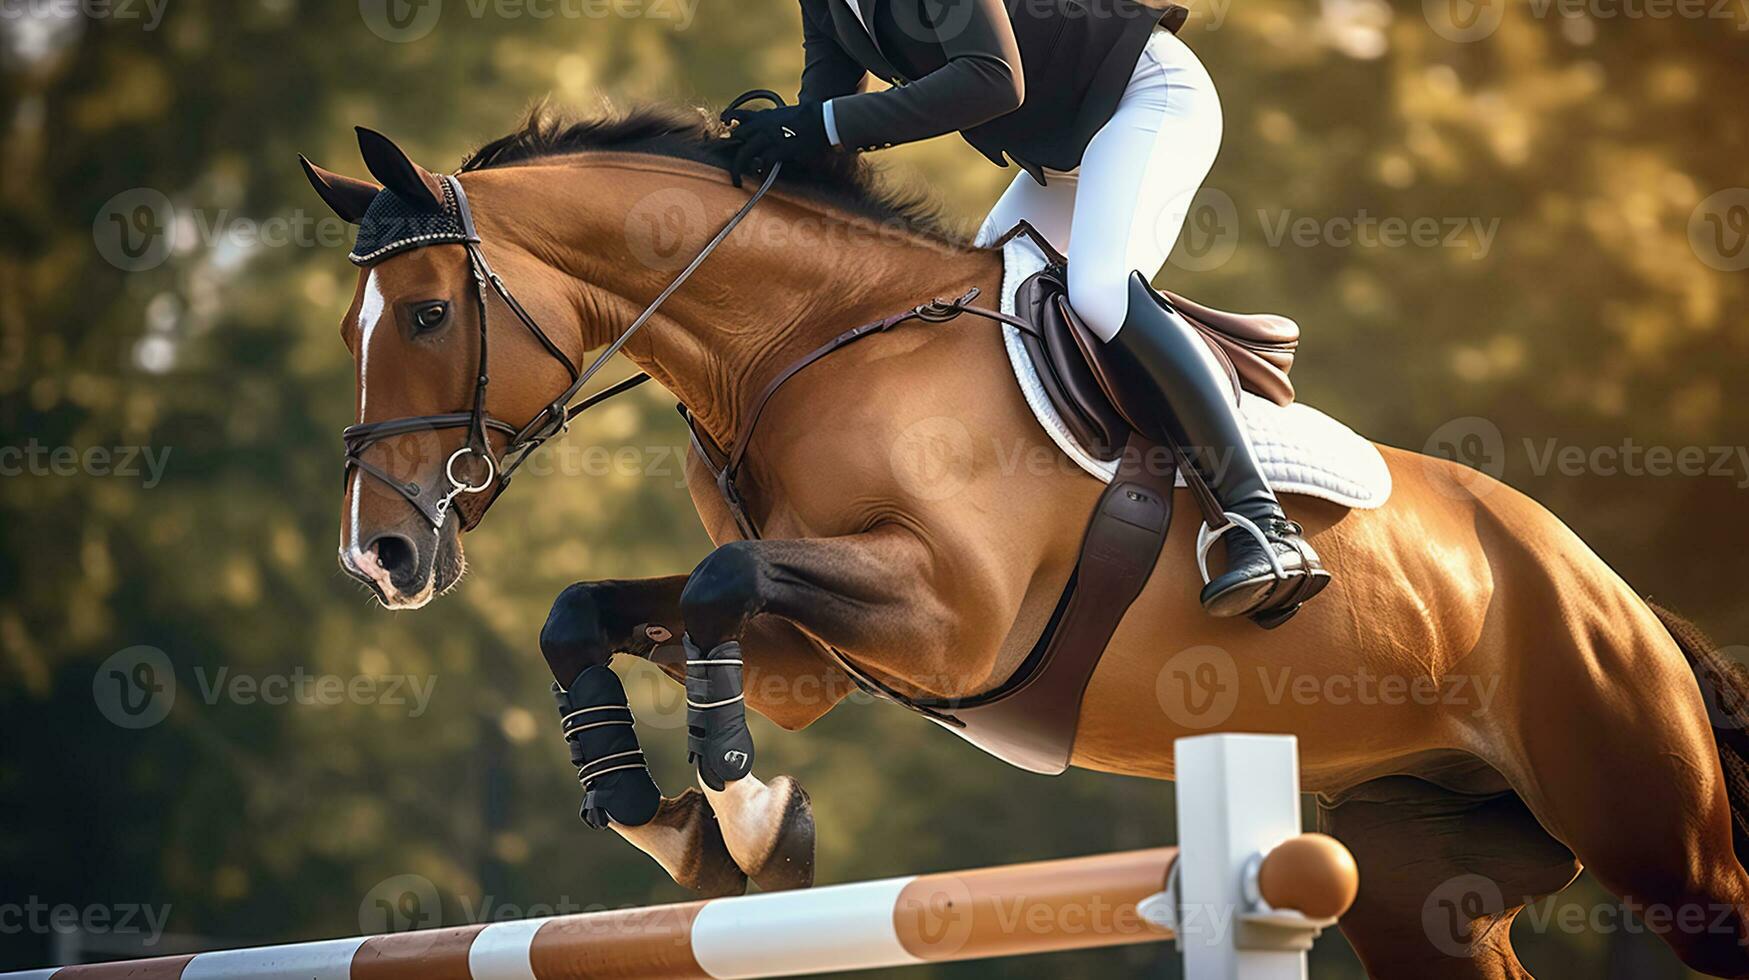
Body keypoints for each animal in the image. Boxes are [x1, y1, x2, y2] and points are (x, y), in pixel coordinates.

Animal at [307, 108, 1749, 980]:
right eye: (353, 327)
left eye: (426, 313)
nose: (379, 555)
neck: (802, 346)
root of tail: (1608, 590)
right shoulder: (810, 661)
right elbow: (592, 611)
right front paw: (691, 826)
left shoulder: (948, 618)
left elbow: (715, 583)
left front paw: (734, 801)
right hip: (1414, 873)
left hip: (1654, 830)